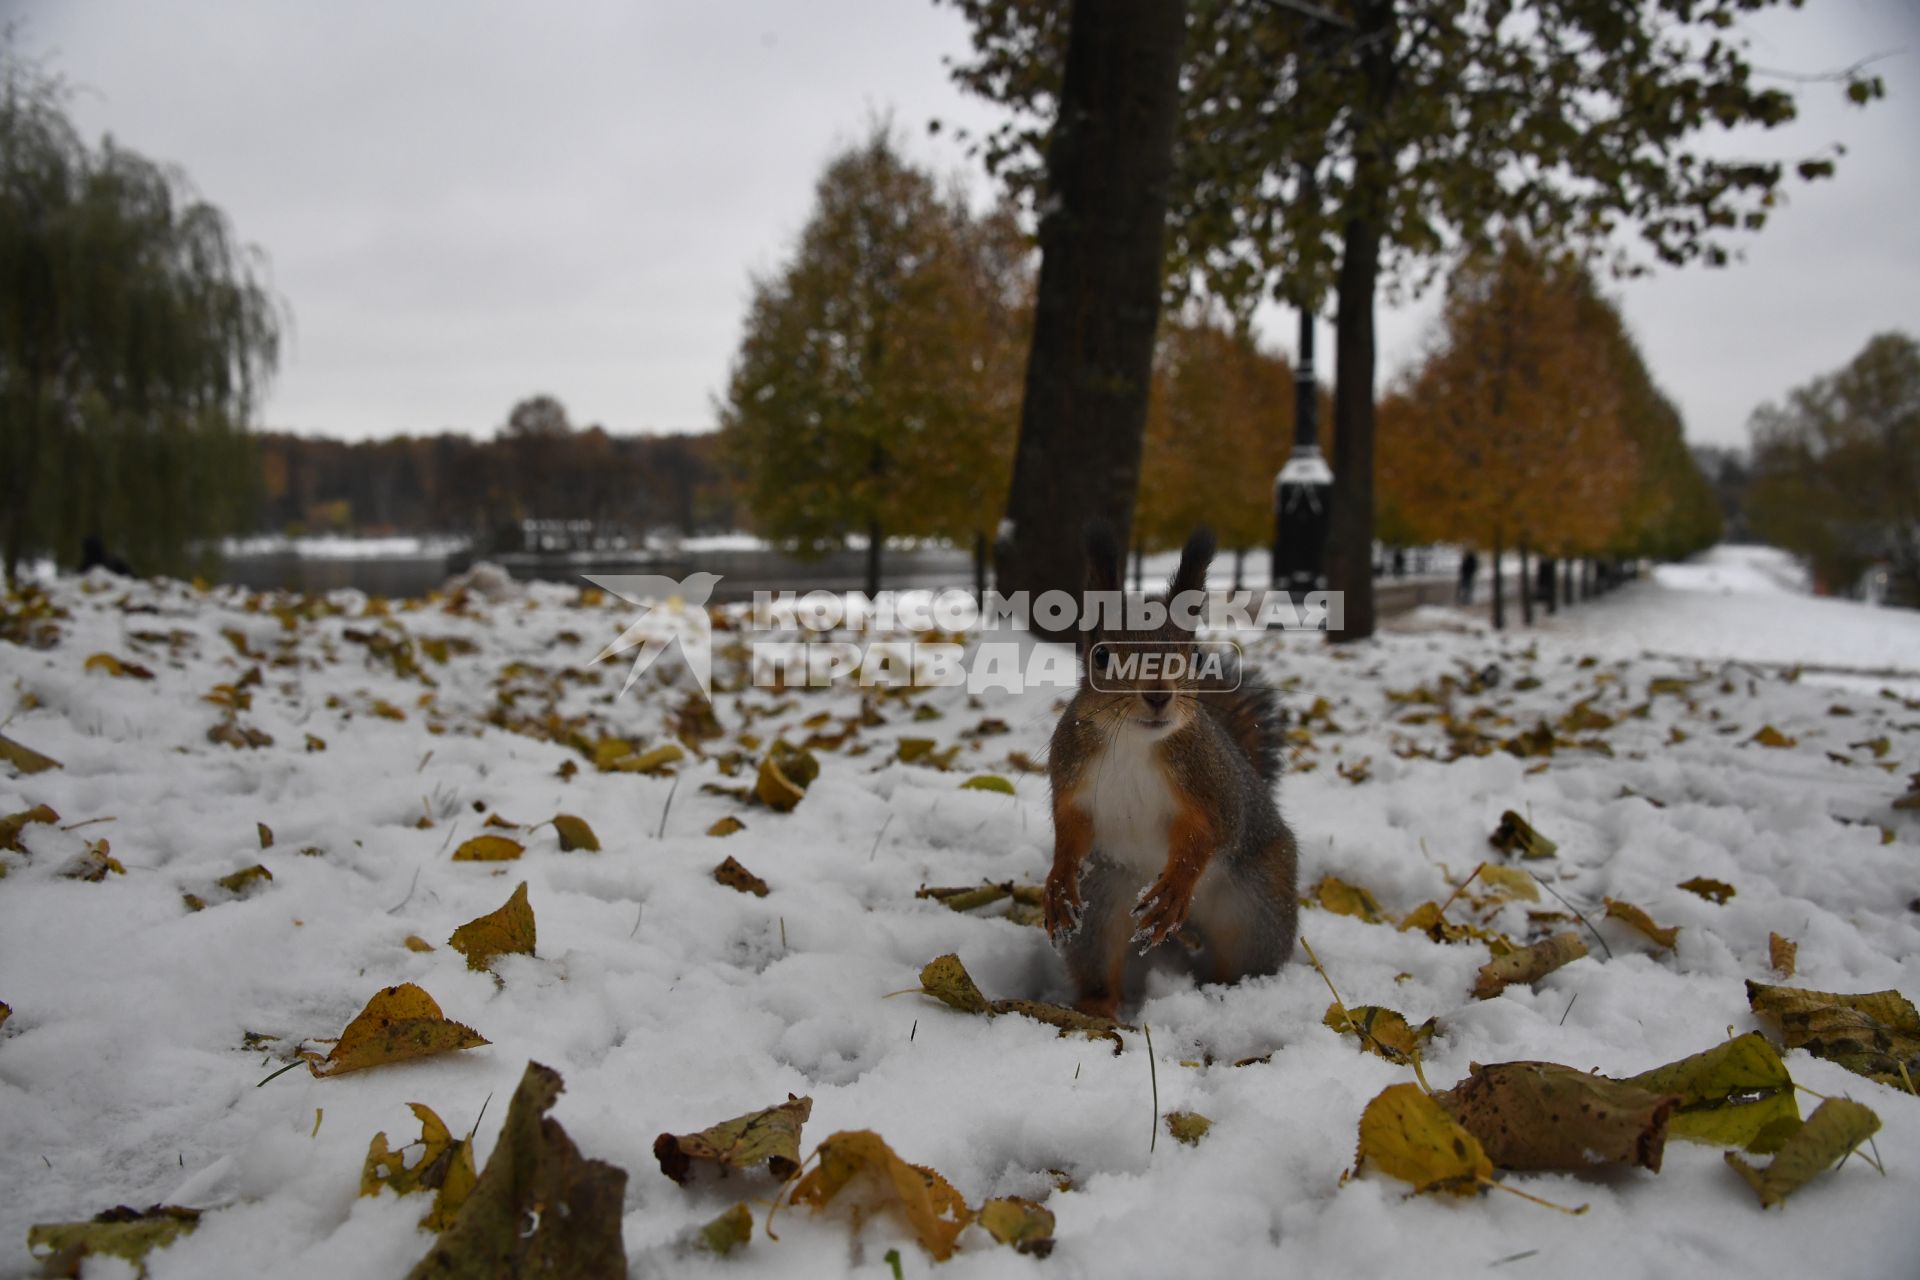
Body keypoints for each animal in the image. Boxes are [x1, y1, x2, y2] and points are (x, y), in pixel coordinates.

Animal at [1044, 525, 1297, 1013]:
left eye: (1191, 653)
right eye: (1100, 655)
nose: (1159, 695)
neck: (1133, 743)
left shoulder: (1214, 787)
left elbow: (1209, 835)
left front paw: (1175, 886)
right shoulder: (1070, 776)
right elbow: (1068, 828)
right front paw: (1059, 884)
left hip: (1259, 906)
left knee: (1246, 958)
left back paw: (1233, 993)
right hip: (1104, 898)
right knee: (1098, 957)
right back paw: (1096, 1008)